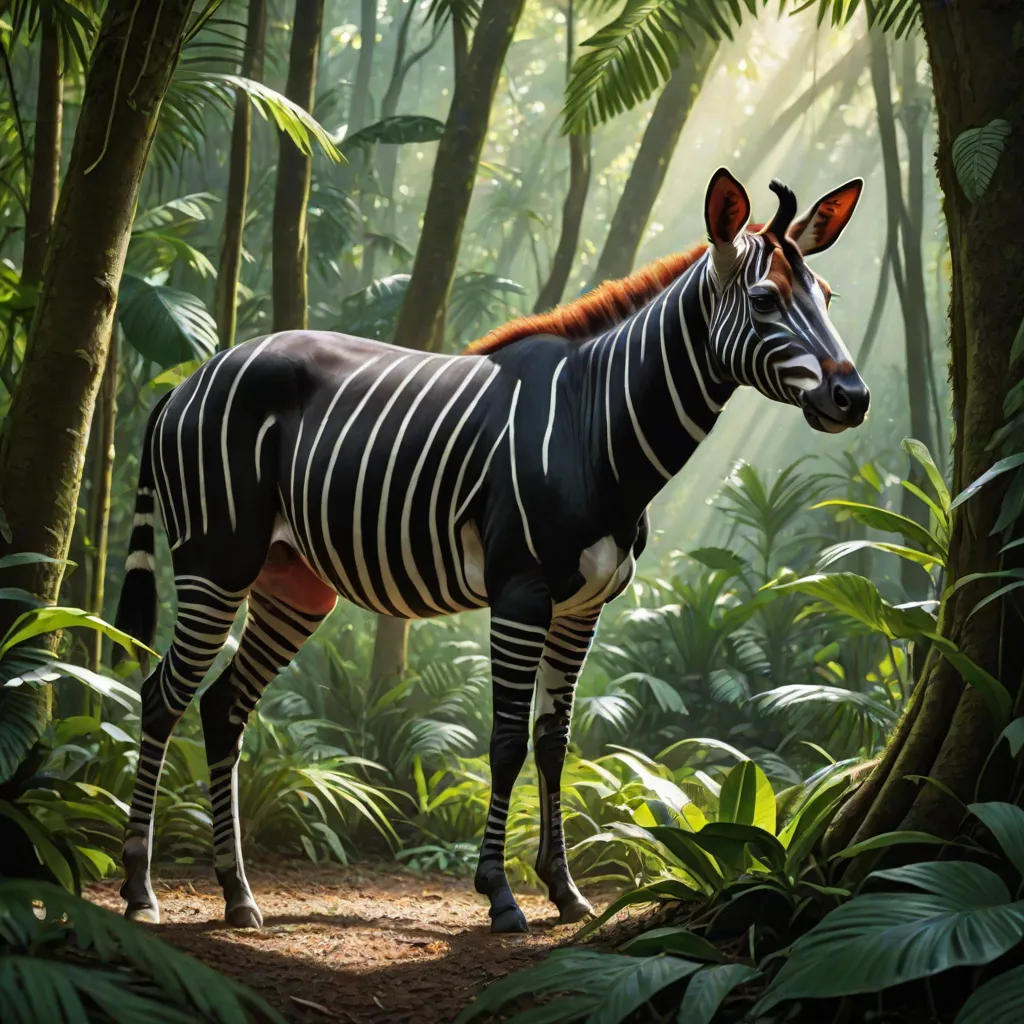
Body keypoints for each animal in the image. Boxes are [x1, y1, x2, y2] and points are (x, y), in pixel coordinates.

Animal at [116, 168, 868, 933]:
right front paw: (500, 894)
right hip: (216, 563)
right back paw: (141, 888)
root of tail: (188, 380)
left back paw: (237, 894)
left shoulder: (583, 607)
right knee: (161, 698)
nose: (854, 398)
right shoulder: (520, 592)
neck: (598, 431)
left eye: (827, 298)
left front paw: (564, 889)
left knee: (221, 709)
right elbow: (505, 741)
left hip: (292, 585)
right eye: (765, 299)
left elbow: (554, 742)